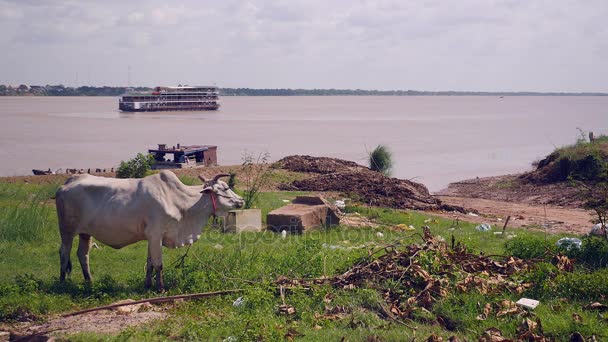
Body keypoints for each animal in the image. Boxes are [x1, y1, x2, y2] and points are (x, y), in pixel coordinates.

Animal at [54, 170, 243, 288]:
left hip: (86, 233)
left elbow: (150, 263)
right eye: (225, 188)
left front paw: (148, 285)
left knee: (83, 254)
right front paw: (160, 288)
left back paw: (89, 281)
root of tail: (65, 184)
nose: (241, 200)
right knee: (64, 253)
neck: (179, 201)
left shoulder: (151, 238)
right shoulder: (156, 234)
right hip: (66, 230)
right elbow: (158, 264)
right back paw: (62, 283)